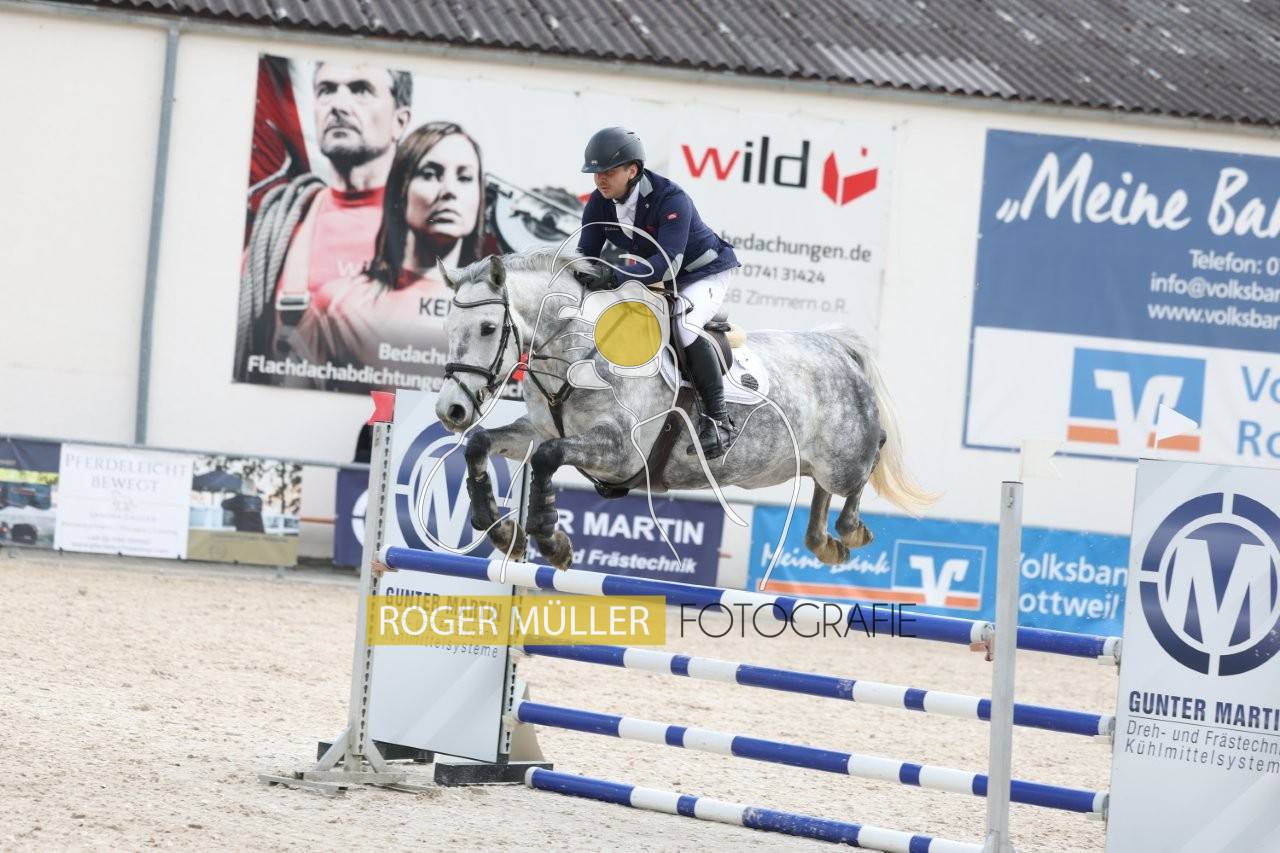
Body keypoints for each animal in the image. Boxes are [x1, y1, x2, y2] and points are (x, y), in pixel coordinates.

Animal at [434, 248, 933, 571]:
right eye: (447, 325)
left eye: (487, 327)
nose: (450, 410)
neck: (576, 354)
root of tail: (834, 346)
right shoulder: (538, 430)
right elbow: (483, 443)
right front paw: (501, 532)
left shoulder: (620, 452)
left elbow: (547, 458)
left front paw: (551, 540)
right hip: (809, 461)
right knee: (821, 489)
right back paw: (823, 542)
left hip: (843, 457)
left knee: (865, 464)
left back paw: (849, 532)